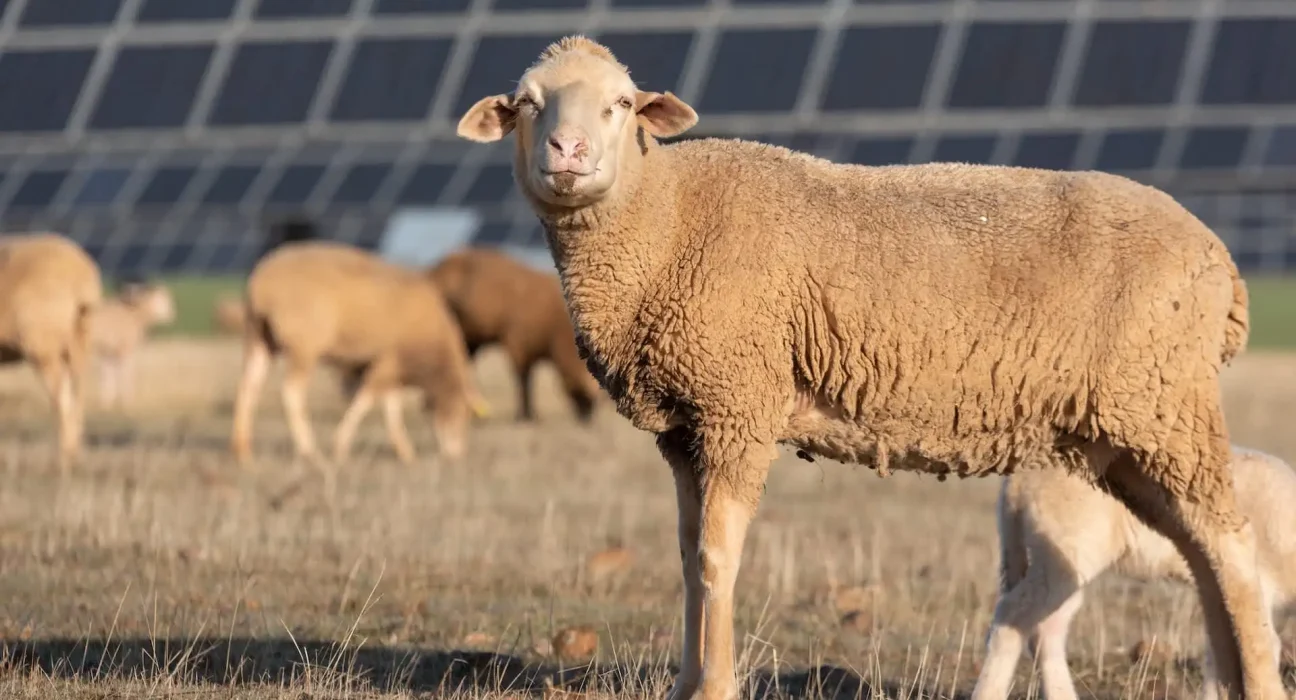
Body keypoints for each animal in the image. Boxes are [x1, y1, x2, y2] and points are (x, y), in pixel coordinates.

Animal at [0, 232, 102, 467]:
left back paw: (61, 459)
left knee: (61, 398)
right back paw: (74, 454)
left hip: (43, 345)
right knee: (78, 393)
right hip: (80, 336)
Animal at [229, 240, 486, 466]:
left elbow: (392, 409)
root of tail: (262, 283)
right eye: (460, 414)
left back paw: (243, 452)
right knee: (291, 394)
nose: (456, 456)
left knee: (247, 388)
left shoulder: (393, 369)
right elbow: (366, 401)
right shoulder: (389, 361)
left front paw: (405, 452)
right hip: (304, 347)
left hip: (257, 338)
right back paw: (309, 452)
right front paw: (340, 446)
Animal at [974, 446, 1296, 700]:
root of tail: (1017, 480)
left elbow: (1220, 651)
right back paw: (988, 693)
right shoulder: (1252, 581)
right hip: (1066, 548)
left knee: (1046, 627)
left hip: (1060, 559)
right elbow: (1260, 643)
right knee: (1014, 615)